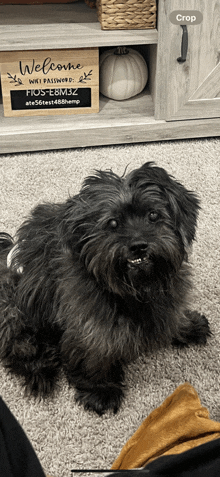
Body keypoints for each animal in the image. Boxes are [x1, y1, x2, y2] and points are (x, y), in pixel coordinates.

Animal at [0, 161, 211, 412]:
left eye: (153, 215)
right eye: (112, 223)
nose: (138, 245)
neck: (137, 289)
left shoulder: (168, 296)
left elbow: (174, 315)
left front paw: (189, 326)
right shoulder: (89, 320)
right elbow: (97, 351)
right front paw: (100, 389)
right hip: (15, 307)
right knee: (18, 346)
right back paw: (41, 369)